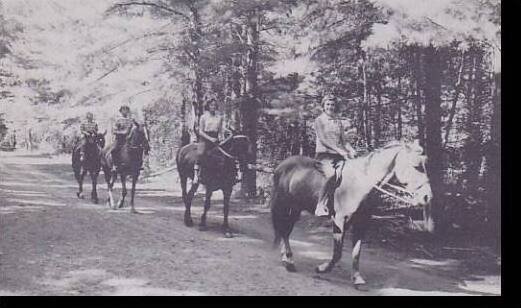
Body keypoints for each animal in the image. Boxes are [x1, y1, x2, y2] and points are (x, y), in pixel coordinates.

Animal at [270, 141, 432, 288]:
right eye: (416, 166)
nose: (427, 197)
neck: (359, 184)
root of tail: (282, 165)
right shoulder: (339, 221)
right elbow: (338, 253)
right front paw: (322, 268)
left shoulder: (362, 223)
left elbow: (356, 252)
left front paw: (357, 278)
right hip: (285, 205)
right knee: (284, 231)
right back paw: (289, 262)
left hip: (295, 209)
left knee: (285, 231)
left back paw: (286, 259)